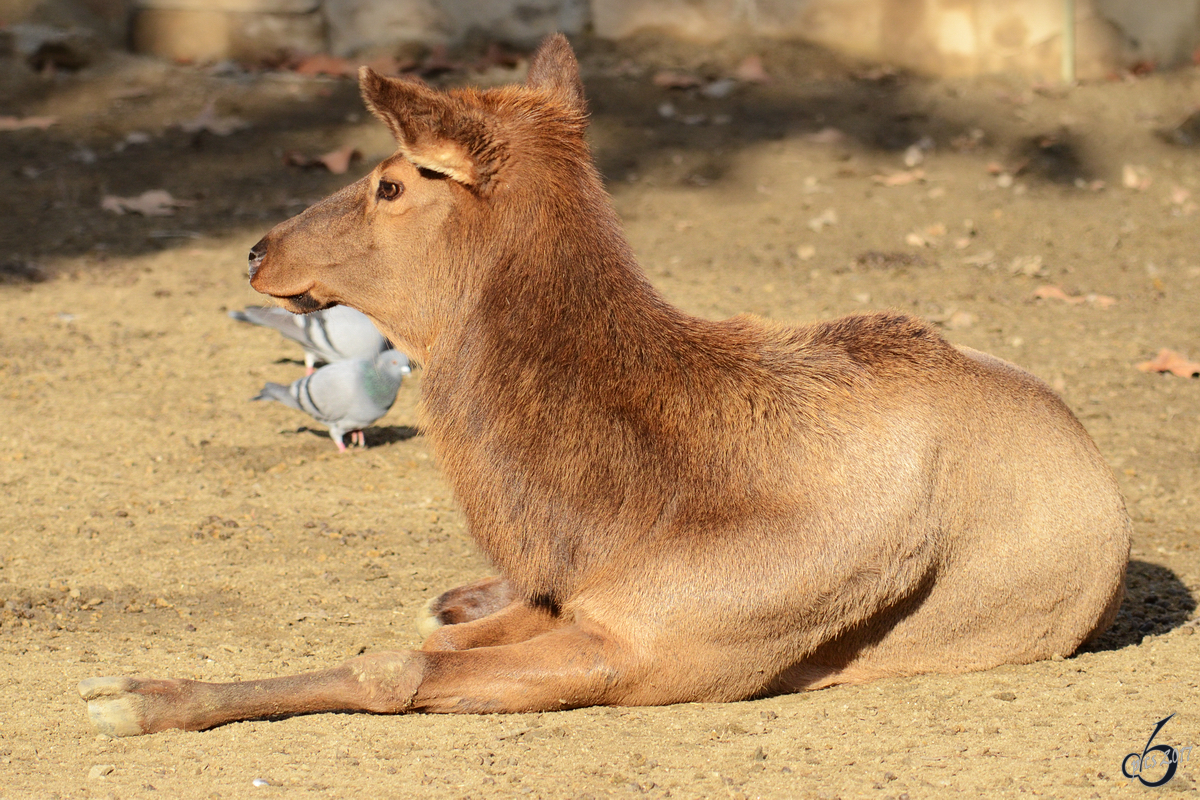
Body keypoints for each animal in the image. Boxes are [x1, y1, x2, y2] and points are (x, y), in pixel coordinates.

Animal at [79, 35, 1128, 738]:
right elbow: (423, 643)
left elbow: (394, 669)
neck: (615, 503)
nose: (259, 249)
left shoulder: (653, 646)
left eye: (391, 182)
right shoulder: (585, 606)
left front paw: (135, 696)